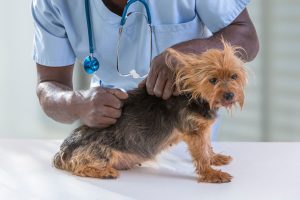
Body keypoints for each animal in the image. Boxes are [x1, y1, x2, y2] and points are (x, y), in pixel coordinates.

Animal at [52, 40, 247, 183]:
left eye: (234, 76)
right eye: (212, 80)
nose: (229, 95)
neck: (196, 95)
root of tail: (62, 152)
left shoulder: (202, 130)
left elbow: (207, 146)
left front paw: (215, 158)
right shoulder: (194, 132)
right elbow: (201, 154)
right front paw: (211, 173)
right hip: (99, 152)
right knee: (79, 166)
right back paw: (104, 172)